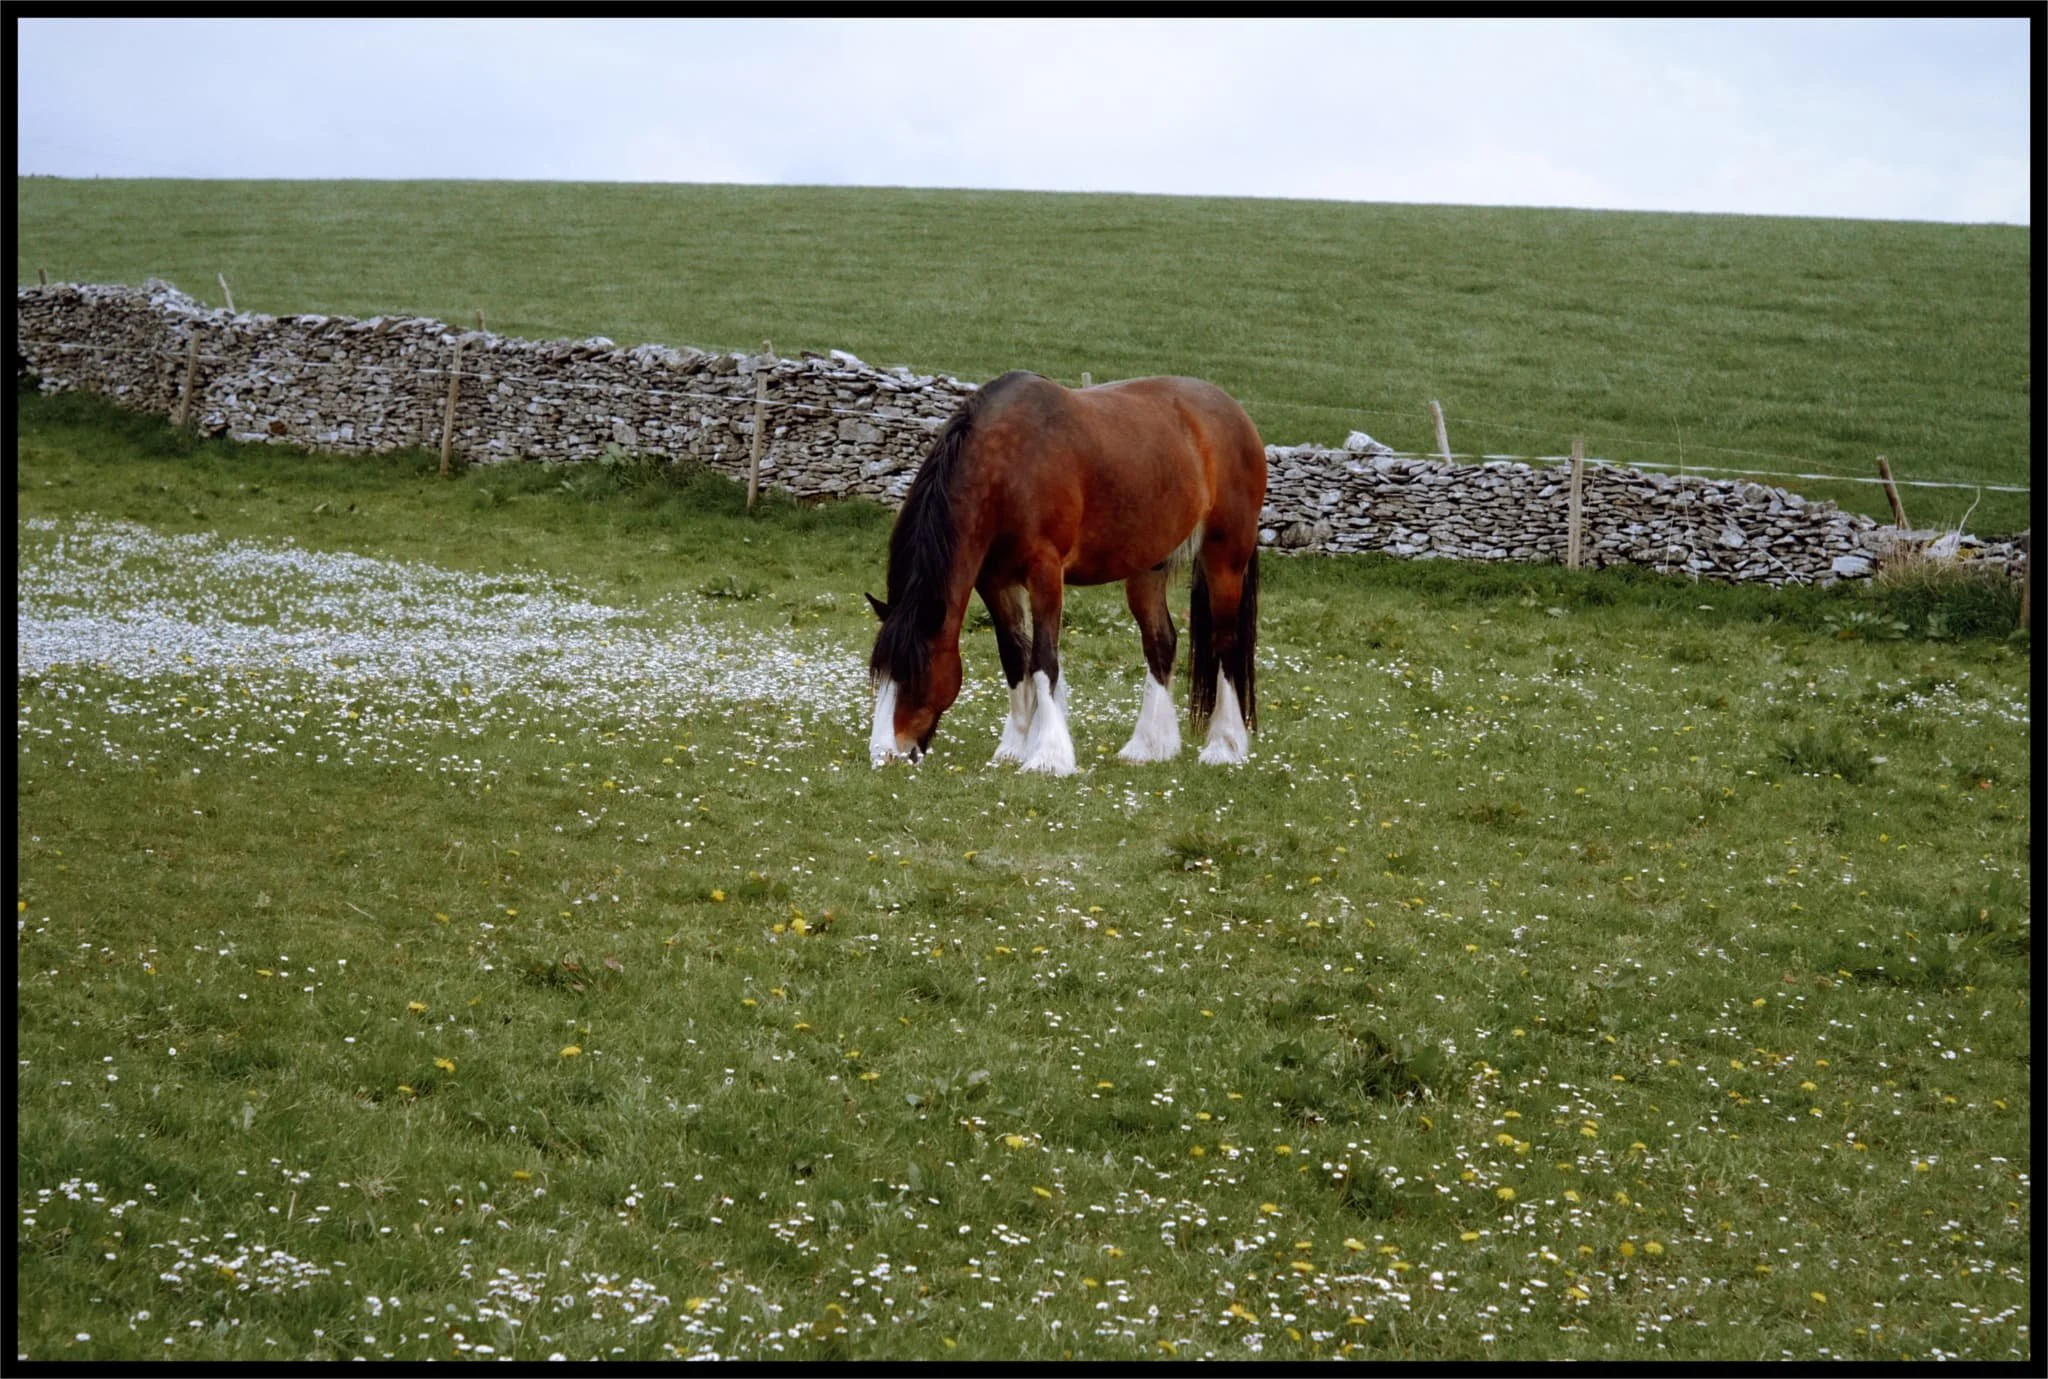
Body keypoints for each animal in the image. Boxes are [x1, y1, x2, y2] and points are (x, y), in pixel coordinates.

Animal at [866, 370, 1266, 775]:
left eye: (914, 673)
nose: (885, 753)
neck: (1008, 468)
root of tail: (1235, 413)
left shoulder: (1045, 573)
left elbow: (1044, 660)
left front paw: (1048, 756)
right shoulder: (994, 581)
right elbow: (1014, 658)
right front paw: (1013, 747)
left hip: (1224, 558)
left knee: (1224, 643)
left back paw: (1224, 746)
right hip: (1148, 566)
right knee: (1161, 643)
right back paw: (1148, 746)